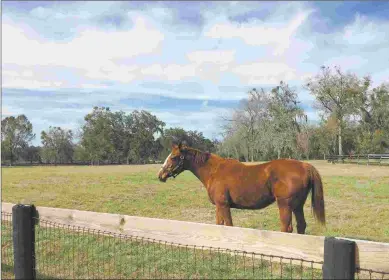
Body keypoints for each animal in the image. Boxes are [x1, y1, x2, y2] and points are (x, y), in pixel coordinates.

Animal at [158, 143, 324, 233]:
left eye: (174, 157)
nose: (160, 175)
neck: (214, 171)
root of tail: (304, 165)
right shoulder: (219, 206)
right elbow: (219, 225)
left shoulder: (224, 205)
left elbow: (229, 226)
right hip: (297, 206)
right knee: (301, 226)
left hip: (285, 205)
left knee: (286, 229)